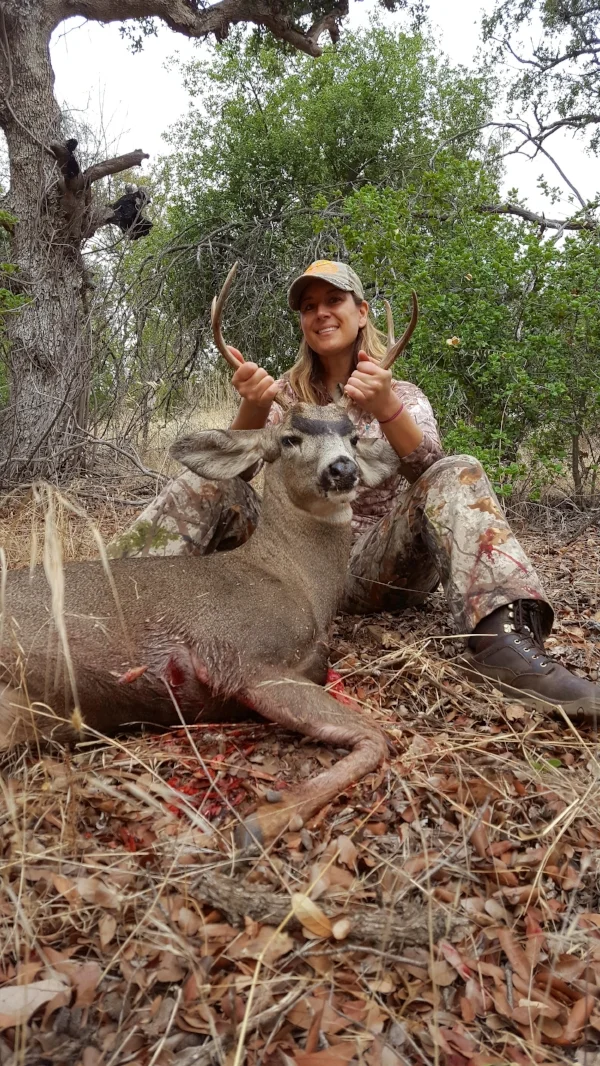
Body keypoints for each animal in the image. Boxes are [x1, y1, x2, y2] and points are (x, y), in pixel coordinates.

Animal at [0, 266, 418, 846]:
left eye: (354, 437)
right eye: (289, 438)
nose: (342, 469)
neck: (295, 584)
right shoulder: (245, 658)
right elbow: (378, 736)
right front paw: (261, 820)